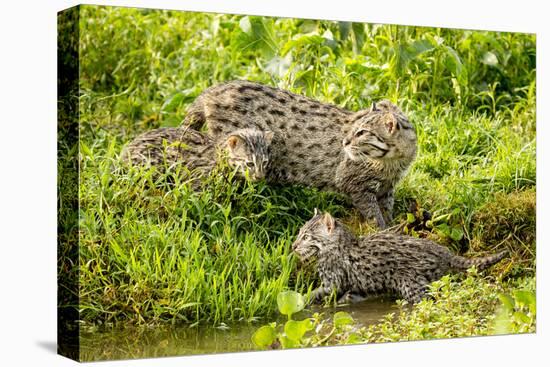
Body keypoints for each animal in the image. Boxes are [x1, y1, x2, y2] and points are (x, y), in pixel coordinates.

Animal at [184, 81, 418, 227]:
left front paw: (393, 227)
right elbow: (374, 216)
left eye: (362, 133)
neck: (392, 161)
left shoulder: (387, 187)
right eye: (353, 129)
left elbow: (386, 210)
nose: (344, 142)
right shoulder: (353, 184)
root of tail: (214, 89)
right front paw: (384, 231)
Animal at [294, 211, 508, 304]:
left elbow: (312, 294)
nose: (294, 246)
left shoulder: (332, 282)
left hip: (413, 286)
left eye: (306, 237)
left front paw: (301, 301)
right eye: (299, 233)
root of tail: (444, 253)